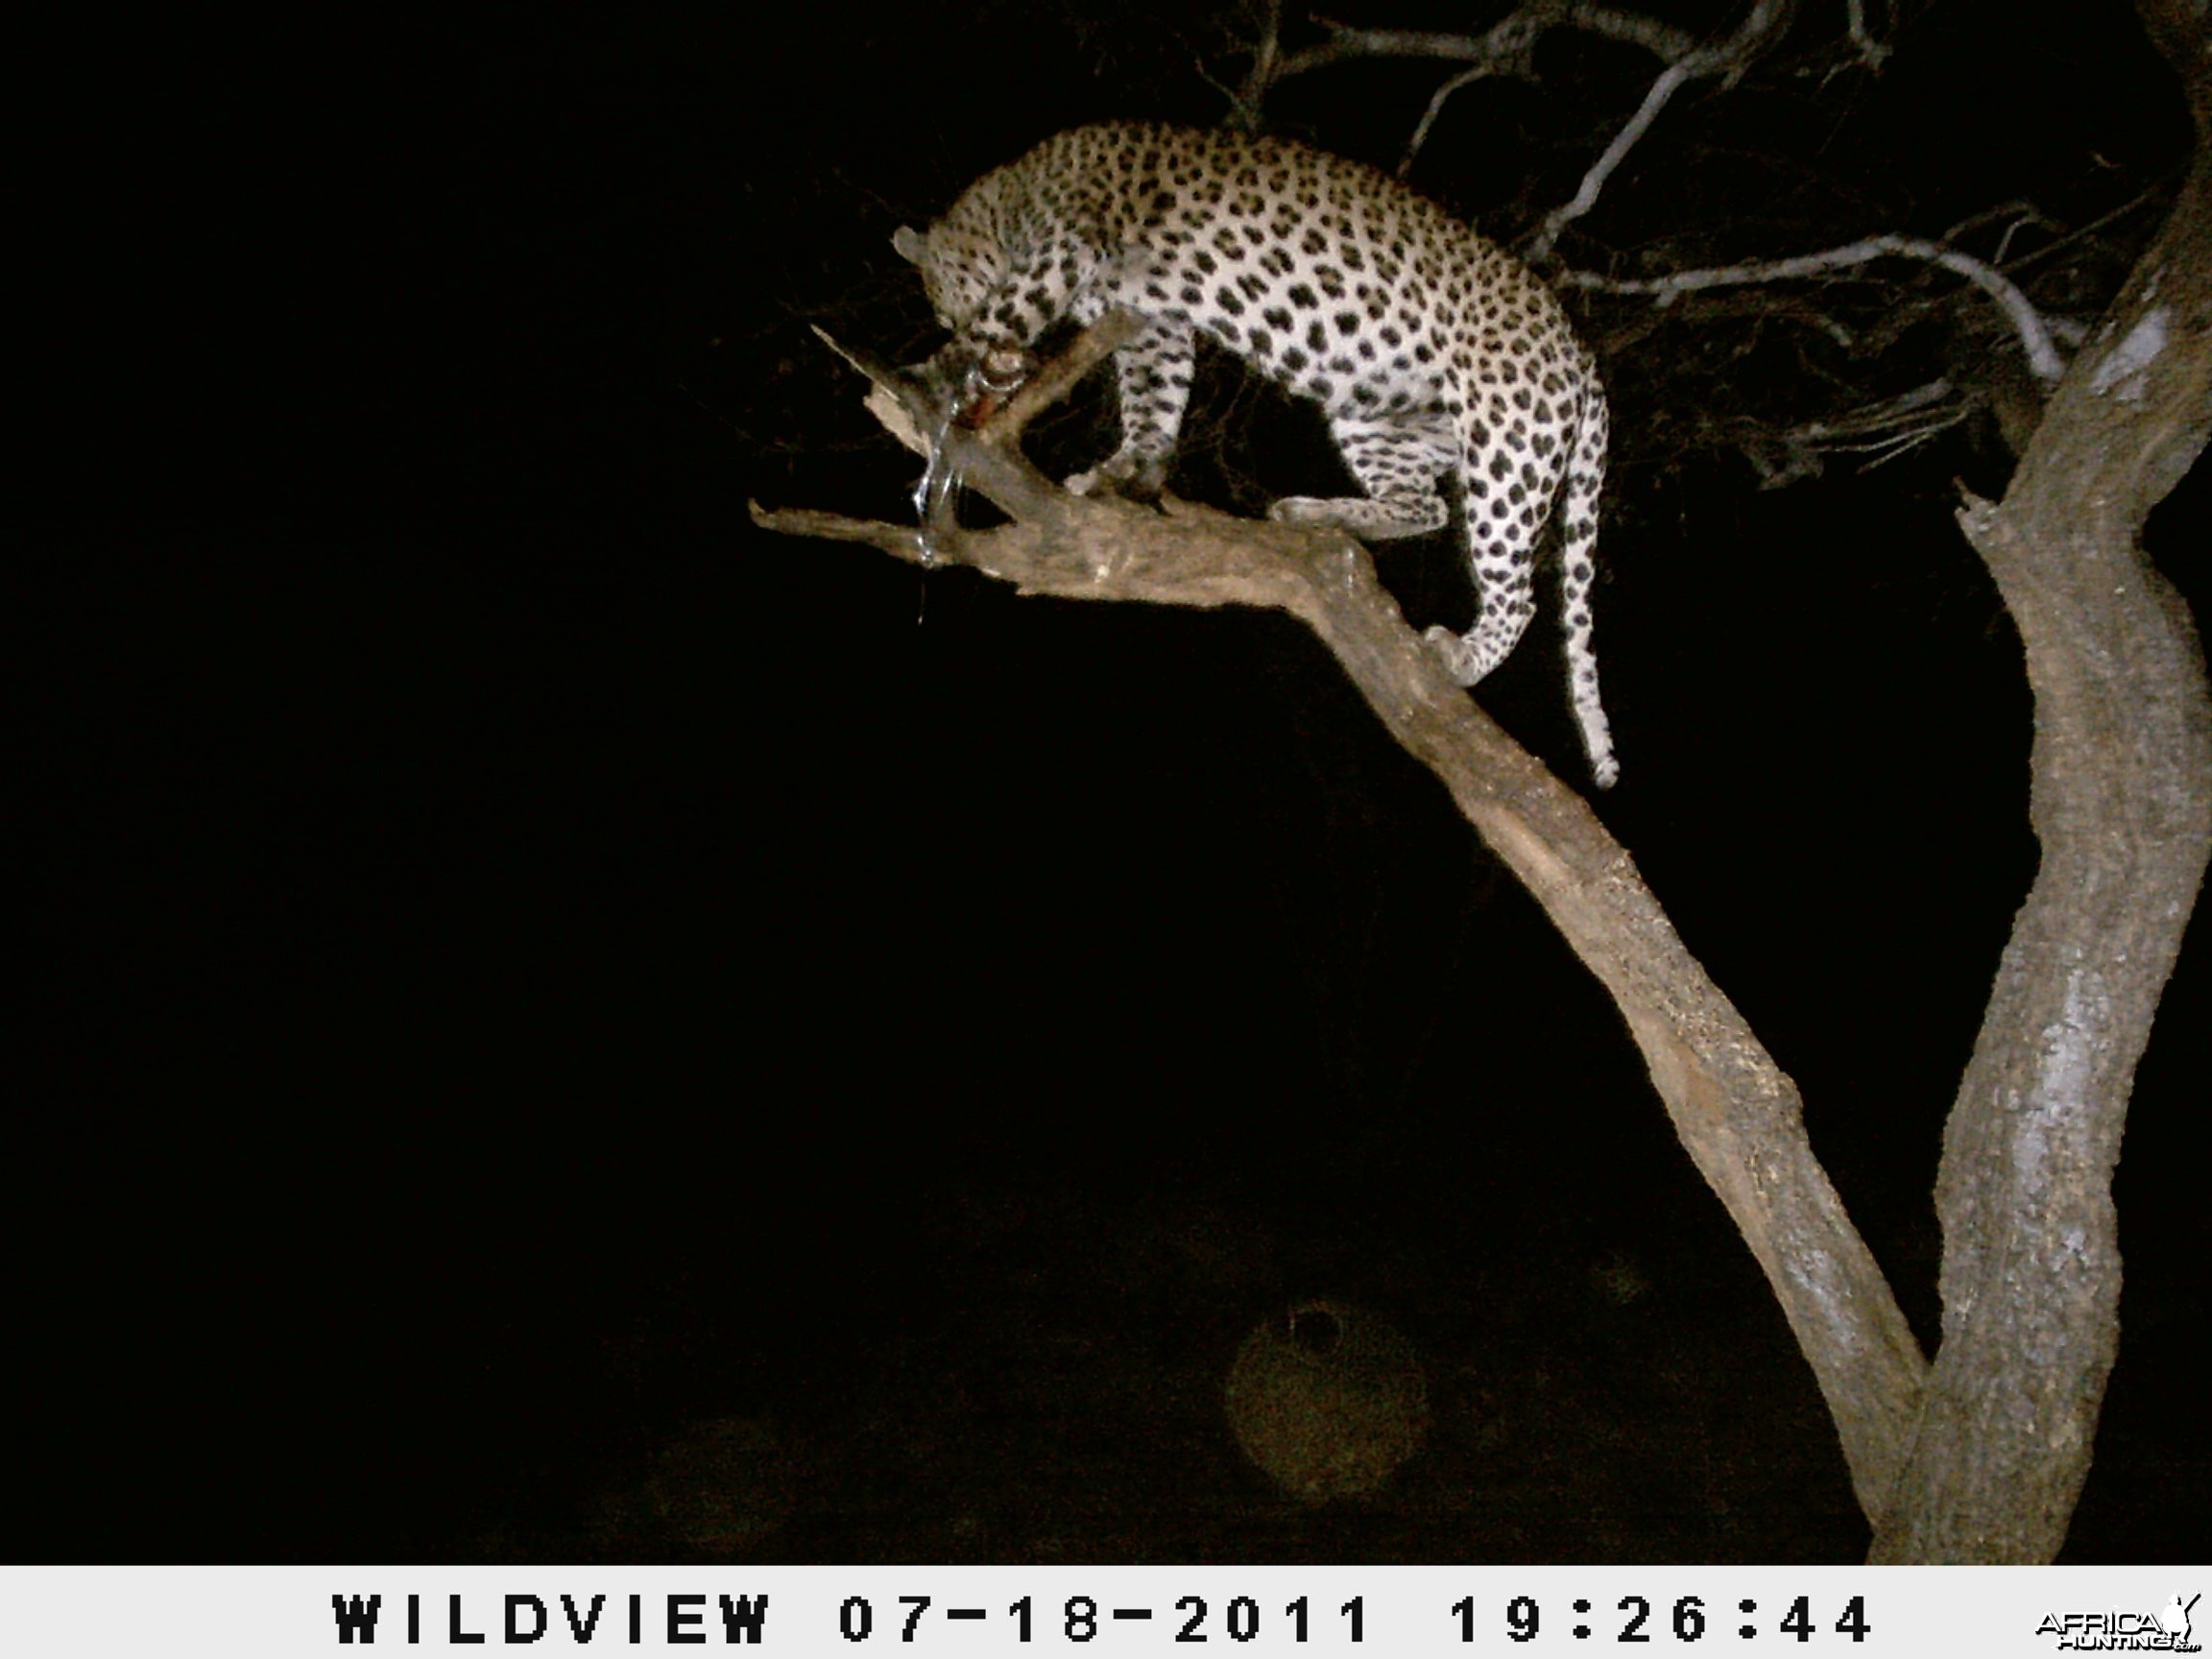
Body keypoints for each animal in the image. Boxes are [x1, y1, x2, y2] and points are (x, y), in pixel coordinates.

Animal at [889, 119, 1619, 787]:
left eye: (946, 308)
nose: (999, 371)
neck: (1011, 194)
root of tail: (1580, 353)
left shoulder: (1063, 246)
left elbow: (1006, 311)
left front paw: (933, 369)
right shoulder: (1155, 325)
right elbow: (1153, 400)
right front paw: (1124, 469)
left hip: (1508, 441)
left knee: (1518, 593)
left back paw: (1460, 655)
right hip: (1373, 414)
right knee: (1425, 505)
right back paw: (1316, 514)